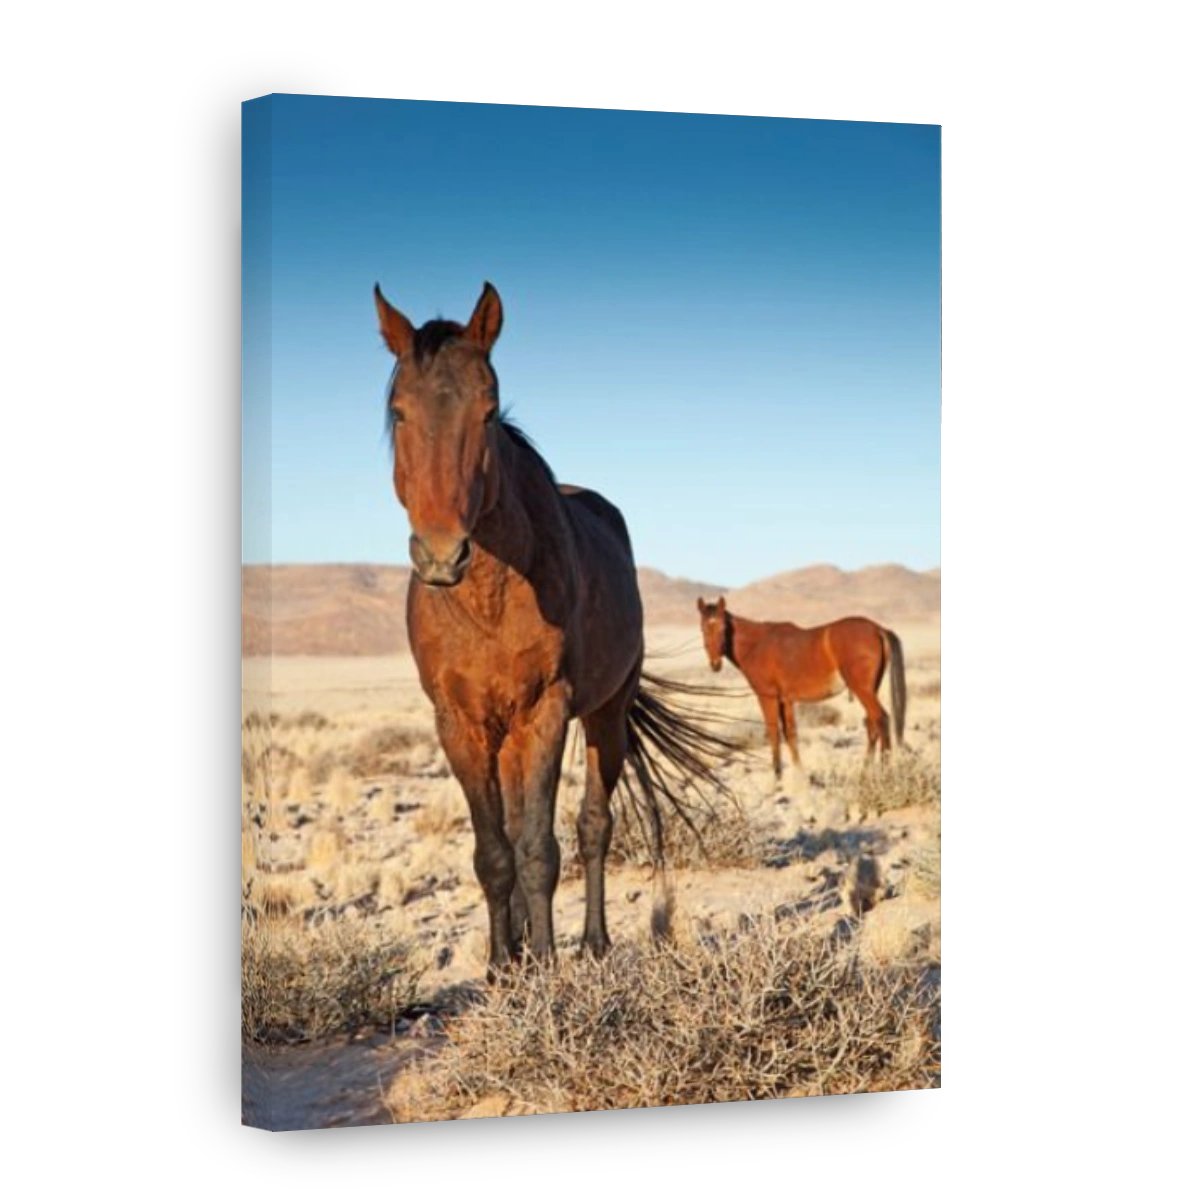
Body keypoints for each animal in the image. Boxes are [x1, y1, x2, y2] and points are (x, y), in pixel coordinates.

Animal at [373, 279, 740, 976]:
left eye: (489, 412)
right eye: (399, 413)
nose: (441, 556)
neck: (485, 599)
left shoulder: (546, 711)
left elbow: (540, 849)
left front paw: (544, 964)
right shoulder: (458, 724)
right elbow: (495, 851)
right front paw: (502, 965)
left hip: (604, 715)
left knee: (593, 824)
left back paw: (593, 943)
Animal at [696, 597, 907, 781]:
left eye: (723, 628)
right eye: (703, 628)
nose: (715, 664)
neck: (757, 644)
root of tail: (878, 629)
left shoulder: (768, 697)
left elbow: (774, 733)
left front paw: (778, 777)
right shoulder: (786, 701)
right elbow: (790, 735)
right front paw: (799, 774)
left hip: (863, 690)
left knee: (881, 719)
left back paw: (885, 774)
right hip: (870, 690)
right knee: (872, 724)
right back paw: (865, 773)